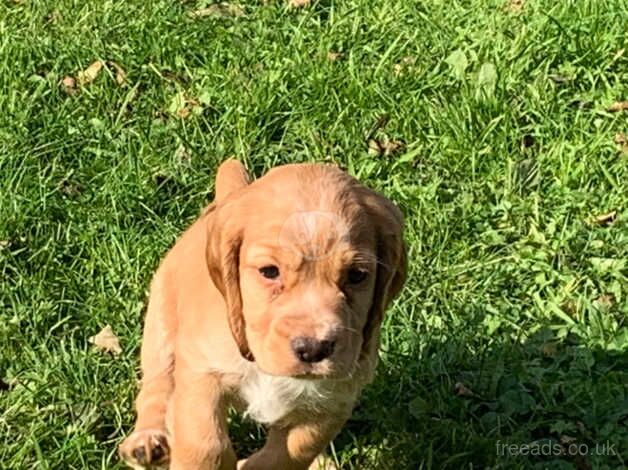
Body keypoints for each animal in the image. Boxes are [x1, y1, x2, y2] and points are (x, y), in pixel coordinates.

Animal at [119, 160, 408, 468]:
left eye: (356, 275)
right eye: (269, 271)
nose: (313, 349)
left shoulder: (332, 403)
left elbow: (292, 451)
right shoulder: (201, 371)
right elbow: (206, 443)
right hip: (160, 321)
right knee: (156, 385)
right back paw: (147, 442)